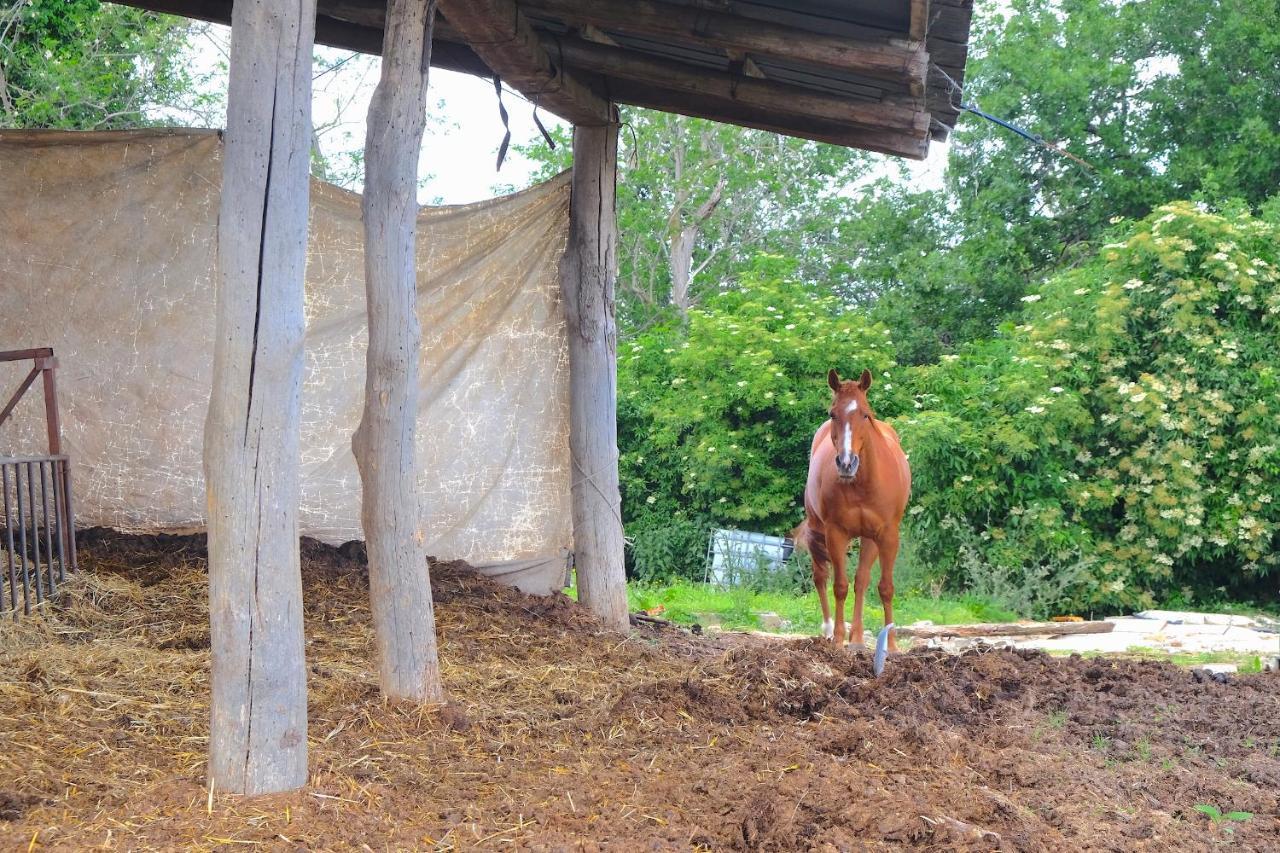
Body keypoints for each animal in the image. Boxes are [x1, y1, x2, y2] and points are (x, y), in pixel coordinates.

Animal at [788, 368, 911, 648]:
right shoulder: (835, 533)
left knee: (862, 580)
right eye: (833, 413)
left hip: (869, 539)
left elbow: (884, 587)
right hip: (817, 531)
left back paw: (857, 638)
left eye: (865, 414)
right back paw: (829, 629)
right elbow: (839, 586)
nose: (846, 462)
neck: (863, 484)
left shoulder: (887, 535)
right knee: (821, 576)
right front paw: (837, 641)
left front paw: (891, 645)